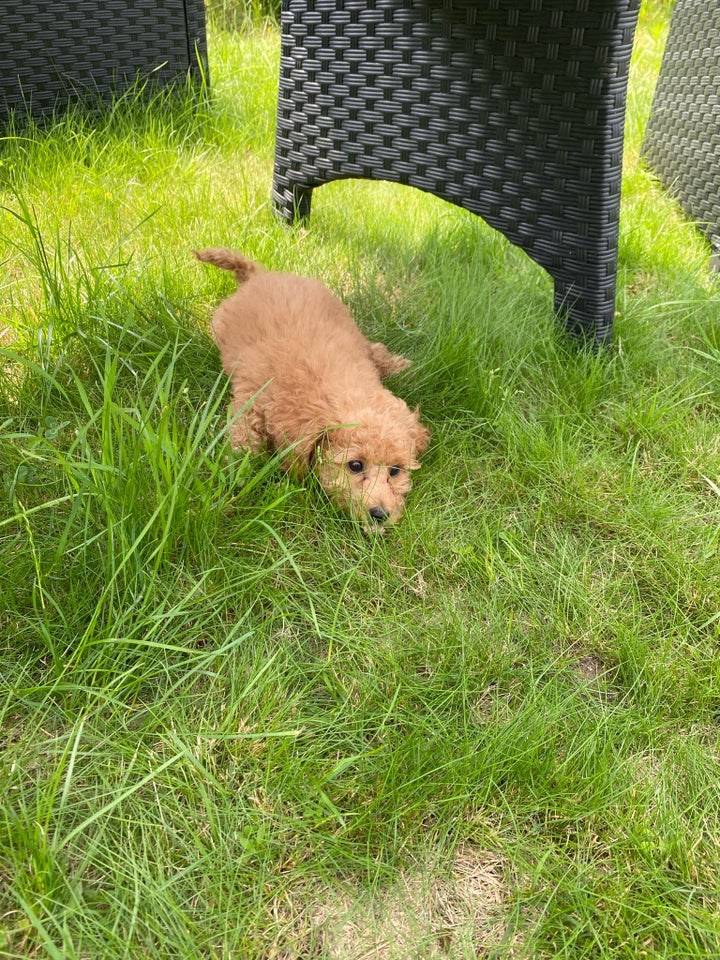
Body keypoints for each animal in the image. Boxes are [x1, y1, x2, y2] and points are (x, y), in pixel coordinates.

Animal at [195, 249, 428, 532]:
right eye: (355, 465)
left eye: (395, 470)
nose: (380, 514)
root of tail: (259, 276)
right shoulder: (252, 398)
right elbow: (243, 440)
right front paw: (236, 475)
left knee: (375, 348)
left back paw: (400, 366)